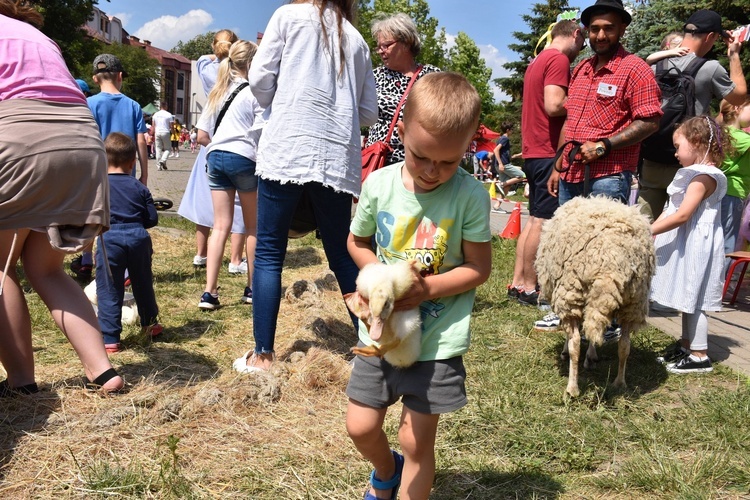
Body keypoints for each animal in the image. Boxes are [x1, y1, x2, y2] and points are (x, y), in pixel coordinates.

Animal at [536, 195, 656, 398]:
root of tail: (610, 263)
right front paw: (591, 357)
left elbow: (572, 335)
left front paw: (568, 353)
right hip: (634, 303)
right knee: (624, 345)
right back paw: (619, 383)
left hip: (570, 292)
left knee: (576, 343)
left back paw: (572, 389)